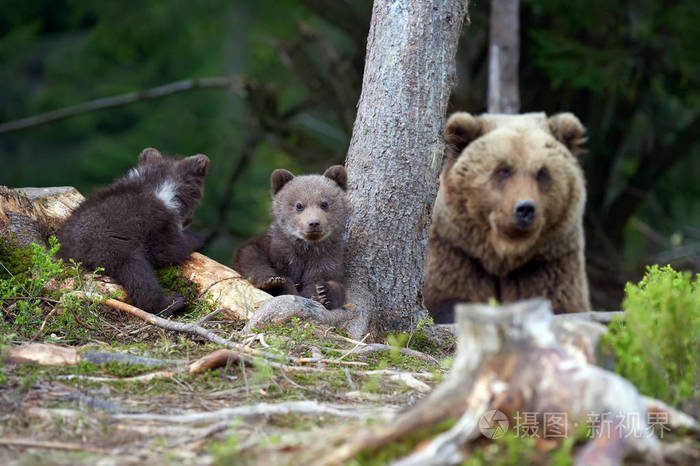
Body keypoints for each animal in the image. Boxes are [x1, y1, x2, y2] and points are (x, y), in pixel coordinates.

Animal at [56, 148, 209, 316]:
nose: (189, 221)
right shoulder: (158, 223)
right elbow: (171, 250)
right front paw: (197, 239)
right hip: (114, 247)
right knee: (138, 274)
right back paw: (172, 302)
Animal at [233, 165, 348, 309]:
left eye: (324, 204)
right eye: (299, 205)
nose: (314, 223)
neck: (307, 248)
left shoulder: (328, 259)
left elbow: (328, 282)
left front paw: (323, 292)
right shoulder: (278, 249)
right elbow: (252, 258)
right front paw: (278, 284)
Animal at [423, 112, 590, 323]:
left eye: (542, 172)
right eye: (503, 170)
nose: (525, 209)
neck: (503, 256)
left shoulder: (547, 263)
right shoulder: (456, 250)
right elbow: (447, 298)